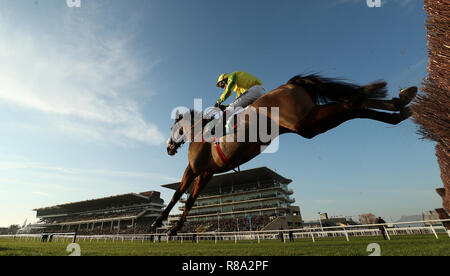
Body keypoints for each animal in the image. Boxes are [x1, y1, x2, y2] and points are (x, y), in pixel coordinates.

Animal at [155, 74, 418, 235]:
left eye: (172, 128)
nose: (168, 148)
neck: (199, 131)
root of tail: (291, 84)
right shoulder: (207, 172)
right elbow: (191, 200)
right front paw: (174, 228)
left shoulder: (194, 168)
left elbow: (178, 194)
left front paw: (159, 222)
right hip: (309, 123)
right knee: (354, 104)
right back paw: (399, 104)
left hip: (306, 124)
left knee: (351, 105)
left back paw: (399, 104)